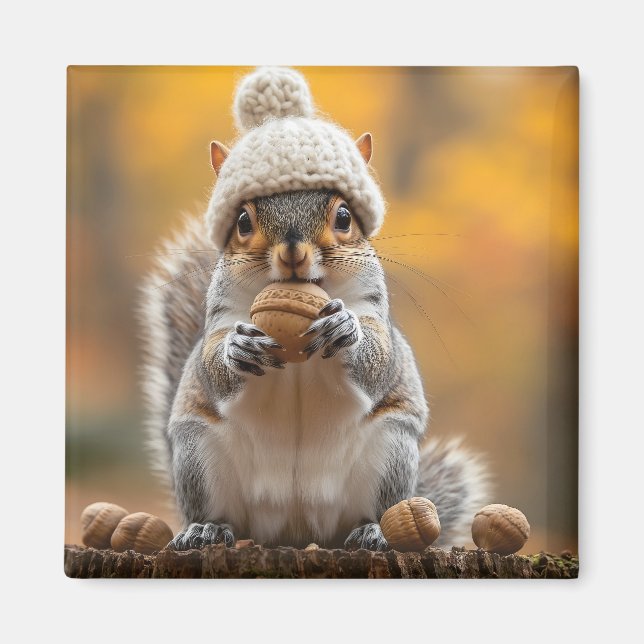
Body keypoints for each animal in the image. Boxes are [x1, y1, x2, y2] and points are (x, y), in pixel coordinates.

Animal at [139, 67, 489, 551]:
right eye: (243, 221)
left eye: (344, 217)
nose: (292, 251)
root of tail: (295, 528)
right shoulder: (222, 316)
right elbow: (211, 361)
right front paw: (236, 350)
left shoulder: (373, 310)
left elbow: (379, 359)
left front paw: (345, 331)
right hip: (198, 456)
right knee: (218, 513)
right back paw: (206, 529)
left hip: (391, 452)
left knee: (372, 510)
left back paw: (373, 530)